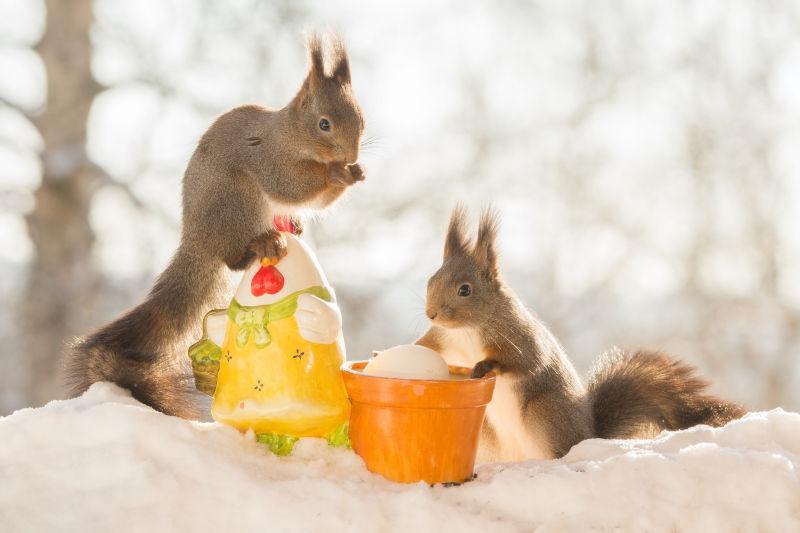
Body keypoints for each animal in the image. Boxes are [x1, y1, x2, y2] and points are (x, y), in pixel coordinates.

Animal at [65, 34, 366, 420]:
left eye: (361, 120)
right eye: (324, 124)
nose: (351, 157)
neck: (289, 135)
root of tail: (196, 239)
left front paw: (355, 172)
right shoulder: (268, 159)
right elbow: (290, 186)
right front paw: (338, 174)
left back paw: (291, 226)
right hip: (237, 199)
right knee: (233, 258)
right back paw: (262, 244)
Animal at [416, 206, 748, 460]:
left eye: (465, 290)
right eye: (430, 281)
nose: (431, 313)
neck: (467, 330)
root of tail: (588, 434)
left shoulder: (519, 337)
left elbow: (523, 362)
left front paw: (484, 366)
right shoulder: (443, 338)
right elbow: (426, 346)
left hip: (545, 412)